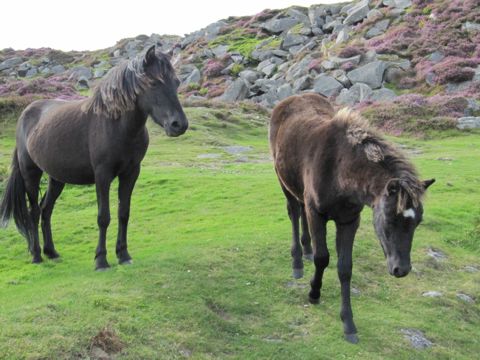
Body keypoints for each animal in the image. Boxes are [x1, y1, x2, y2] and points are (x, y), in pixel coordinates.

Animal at [0, 45, 188, 270]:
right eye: (153, 82)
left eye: (176, 82)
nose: (179, 125)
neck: (115, 124)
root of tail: (26, 113)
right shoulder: (102, 175)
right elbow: (103, 217)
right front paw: (101, 260)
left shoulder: (131, 172)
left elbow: (123, 213)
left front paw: (123, 255)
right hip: (31, 174)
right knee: (34, 212)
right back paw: (37, 255)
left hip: (57, 178)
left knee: (46, 210)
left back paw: (51, 252)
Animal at [270, 93, 436, 344]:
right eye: (390, 219)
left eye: (418, 222)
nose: (402, 270)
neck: (339, 170)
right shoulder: (317, 214)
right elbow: (322, 258)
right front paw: (314, 293)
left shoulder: (349, 221)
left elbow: (345, 268)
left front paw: (348, 323)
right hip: (283, 182)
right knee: (294, 212)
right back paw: (298, 261)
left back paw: (306, 250)